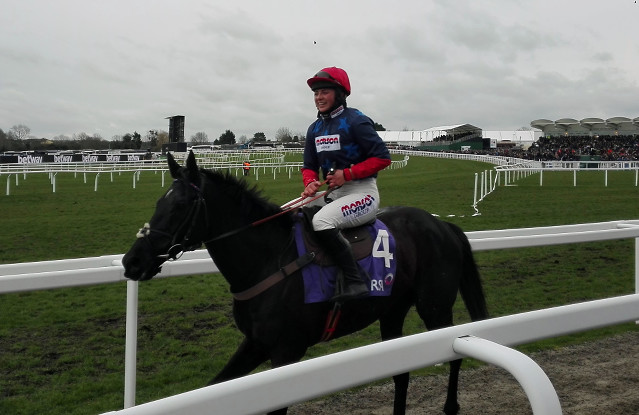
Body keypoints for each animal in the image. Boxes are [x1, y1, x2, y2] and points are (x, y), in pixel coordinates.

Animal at [121, 153, 490, 415]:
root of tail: (441, 225)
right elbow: (218, 384)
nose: (132, 261)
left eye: (181, 205)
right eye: (159, 202)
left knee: (453, 355)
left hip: (434, 306)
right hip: (393, 310)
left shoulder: (286, 351)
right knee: (401, 370)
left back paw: (451, 407)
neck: (269, 259)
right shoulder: (255, 343)